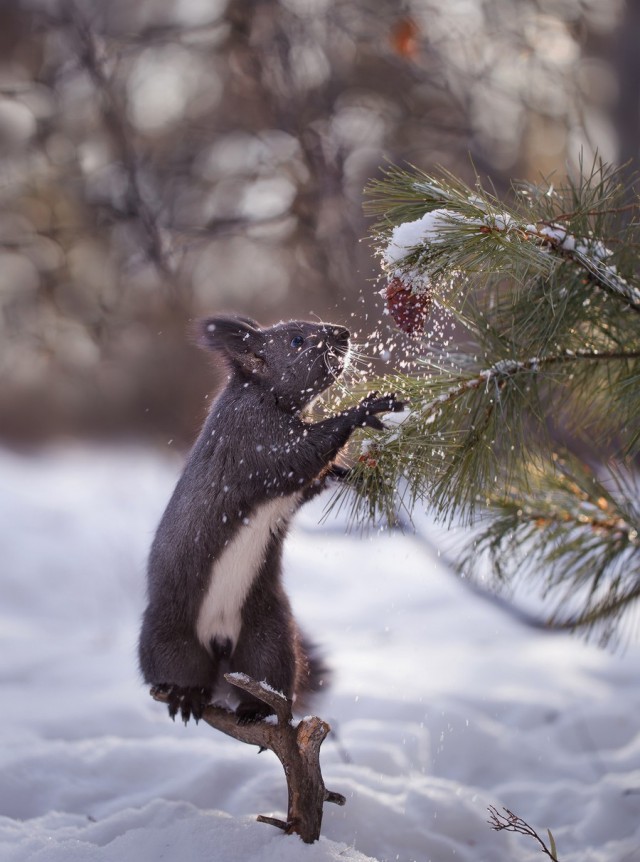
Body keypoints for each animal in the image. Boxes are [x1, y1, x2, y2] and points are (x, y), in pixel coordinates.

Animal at [138, 314, 402, 724]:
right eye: (296, 341)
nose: (343, 333)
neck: (262, 394)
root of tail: (220, 640)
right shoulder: (255, 438)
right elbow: (299, 456)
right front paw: (364, 409)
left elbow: (315, 476)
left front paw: (352, 474)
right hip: (173, 638)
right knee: (179, 671)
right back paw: (186, 695)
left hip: (267, 639)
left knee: (266, 675)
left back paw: (254, 709)